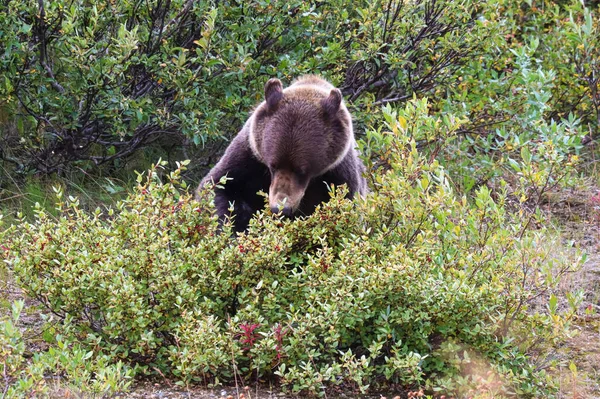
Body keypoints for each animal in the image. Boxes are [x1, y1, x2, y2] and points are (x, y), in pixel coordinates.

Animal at [198, 76, 366, 233]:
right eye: (272, 166)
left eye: (302, 171)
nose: (280, 208)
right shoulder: (249, 154)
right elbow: (219, 186)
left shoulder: (339, 174)